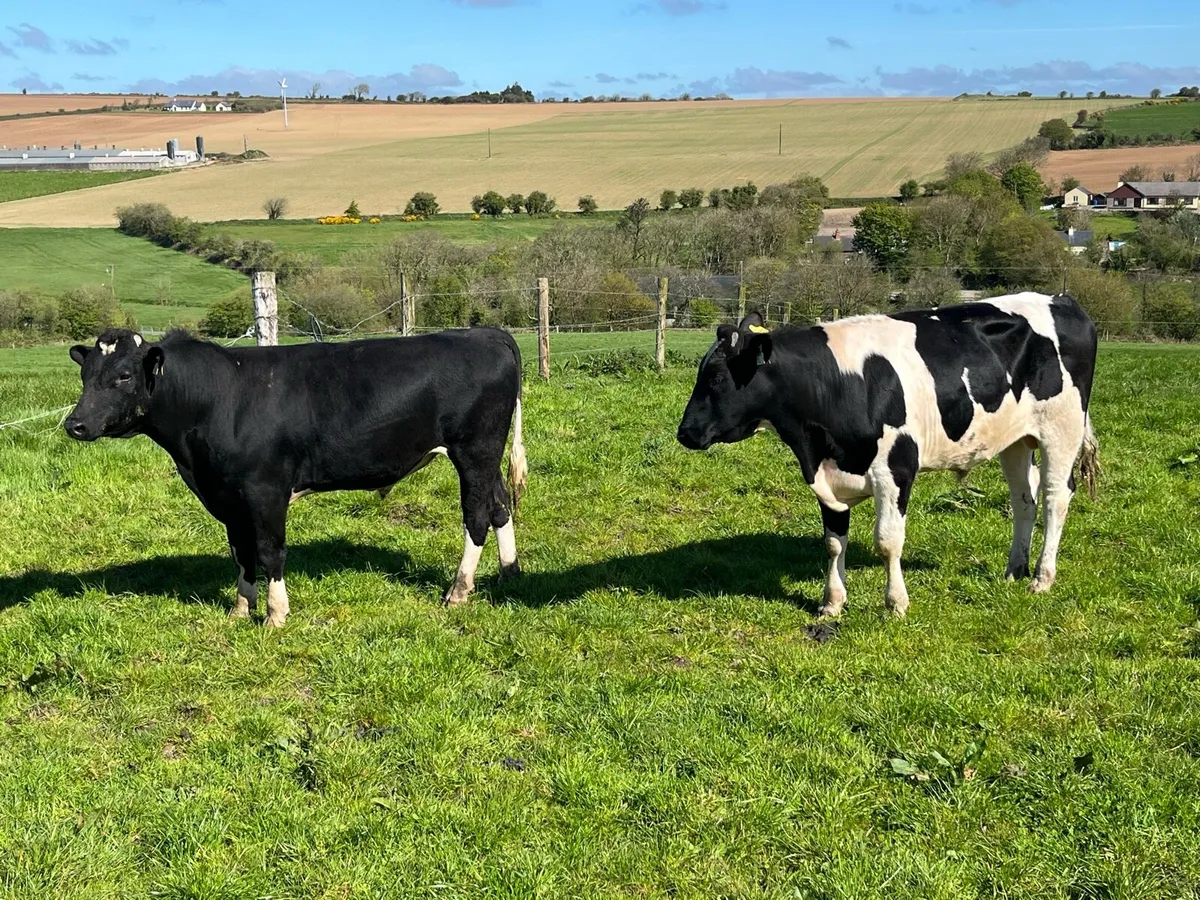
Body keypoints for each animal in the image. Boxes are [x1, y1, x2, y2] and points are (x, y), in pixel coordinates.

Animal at [64, 328, 527, 626]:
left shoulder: (265, 489)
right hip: (486, 457)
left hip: (474, 450)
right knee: (500, 506)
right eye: (85, 375)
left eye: (124, 375)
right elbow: (242, 552)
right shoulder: (228, 496)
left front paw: (275, 614)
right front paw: (240, 608)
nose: (74, 424)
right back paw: (509, 573)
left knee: (476, 516)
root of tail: (486, 333)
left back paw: (459, 591)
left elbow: (270, 551)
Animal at [676, 292, 1098, 617]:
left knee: (1055, 497)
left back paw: (1042, 578)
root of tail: (1062, 300)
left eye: (716, 377)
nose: (684, 433)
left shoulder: (896, 469)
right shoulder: (825, 473)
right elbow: (833, 542)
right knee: (1024, 501)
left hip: (1062, 429)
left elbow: (887, 542)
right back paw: (1015, 569)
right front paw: (832, 602)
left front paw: (895, 603)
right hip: (1015, 440)